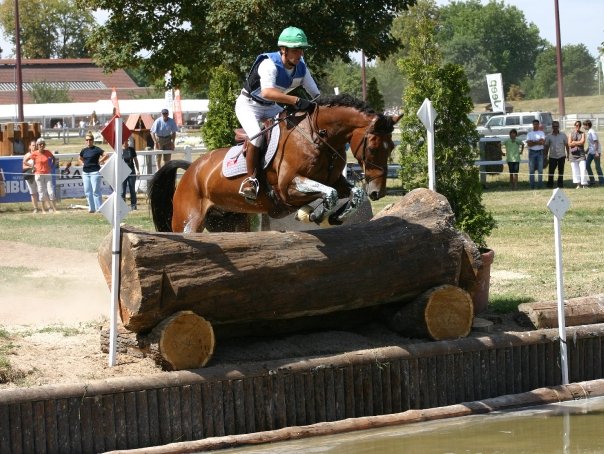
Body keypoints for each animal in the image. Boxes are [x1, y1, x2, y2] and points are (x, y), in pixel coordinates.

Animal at [147, 93, 402, 232]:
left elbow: (353, 193)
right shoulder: (288, 188)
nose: (378, 192)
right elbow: (328, 193)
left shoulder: (336, 181)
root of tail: (192, 169)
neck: (317, 136)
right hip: (188, 220)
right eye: (373, 147)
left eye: (392, 148)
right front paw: (313, 214)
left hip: (231, 221)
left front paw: (335, 216)